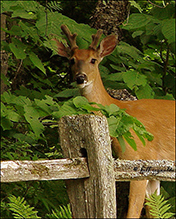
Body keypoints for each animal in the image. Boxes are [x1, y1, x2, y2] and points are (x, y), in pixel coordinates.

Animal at [54, 24, 175, 218]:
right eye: (72, 60)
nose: (81, 77)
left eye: (93, 60)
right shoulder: (154, 170)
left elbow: (133, 212)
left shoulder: (138, 161)